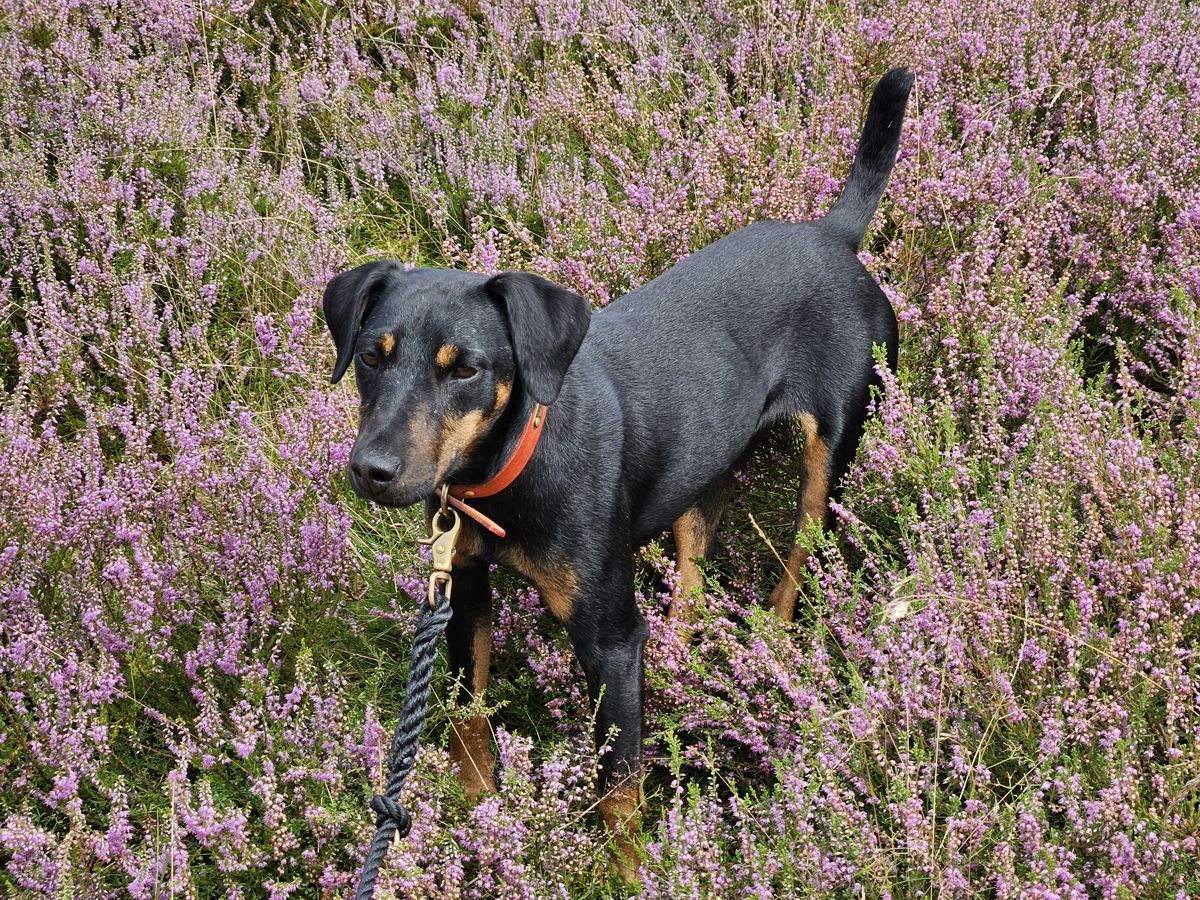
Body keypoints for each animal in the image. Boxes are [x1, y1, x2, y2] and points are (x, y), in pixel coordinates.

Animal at [324, 68, 912, 883]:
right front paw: (475, 820)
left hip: (837, 443)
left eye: (466, 369)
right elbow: (469, 713)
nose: (372, 471)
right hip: (705, 458)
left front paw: (628, 875)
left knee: (804, 546)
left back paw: (773, 635)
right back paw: (686, 660)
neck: (509, 469)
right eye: (371, 357)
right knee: (693, 560)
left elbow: (619, 789)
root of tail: (834, 235)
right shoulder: (464, 586)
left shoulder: (606, 636)